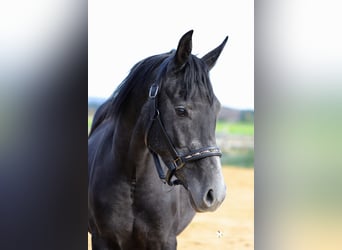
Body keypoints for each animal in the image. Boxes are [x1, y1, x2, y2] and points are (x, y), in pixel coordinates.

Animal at [88, 31, 227, 250]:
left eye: (217, 109)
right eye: (181, 110)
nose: (215, 193)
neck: (133, 178)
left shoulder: (165, 241)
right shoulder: (101, 239)